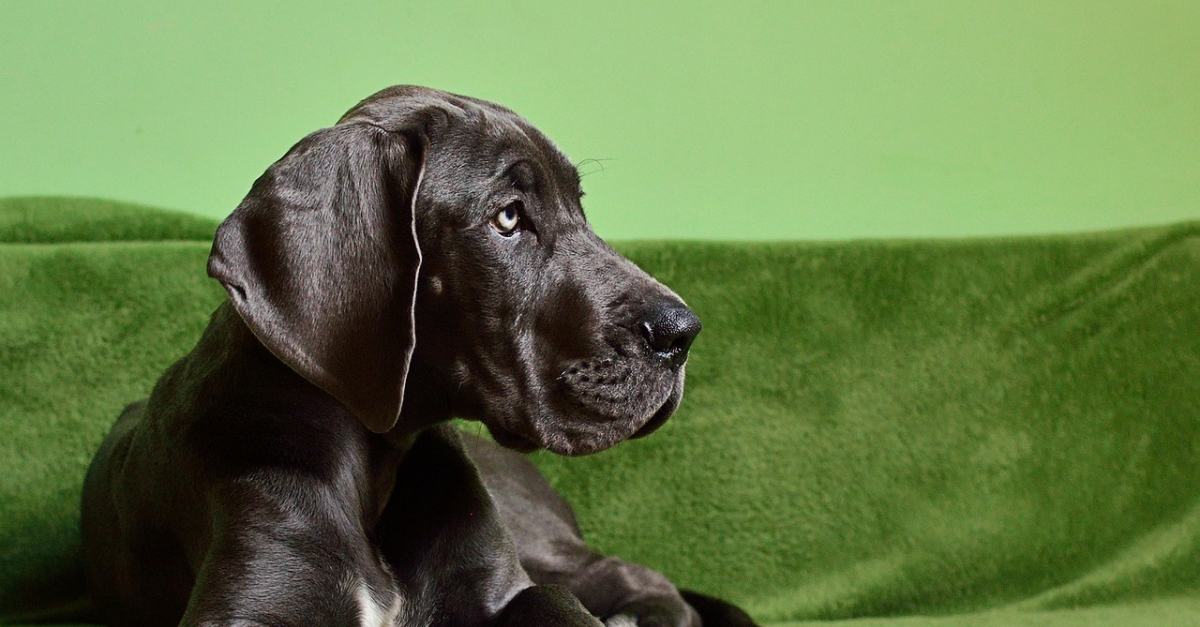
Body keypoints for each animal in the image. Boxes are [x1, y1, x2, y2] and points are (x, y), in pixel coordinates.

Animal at [82, 85, 758, 624]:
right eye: (508, 218)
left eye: (580, 209)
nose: (683, 332)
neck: (375, 469)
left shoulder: (500, 583)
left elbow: (551, 600)